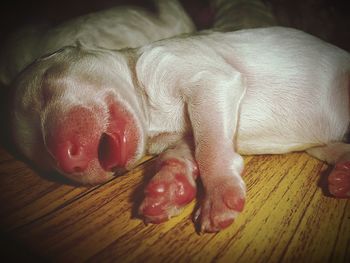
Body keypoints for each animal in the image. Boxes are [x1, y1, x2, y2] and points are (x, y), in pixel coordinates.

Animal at [10, 27, 350, 233]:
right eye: (45, 165)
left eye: (46, 89)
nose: (67, 160)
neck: (151, 118)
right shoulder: (183, 134)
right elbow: (185, 152)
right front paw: (169, 187)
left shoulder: (207, 79)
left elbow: (210, 149)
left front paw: (219, 194)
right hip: (320, 143)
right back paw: (343, 172)